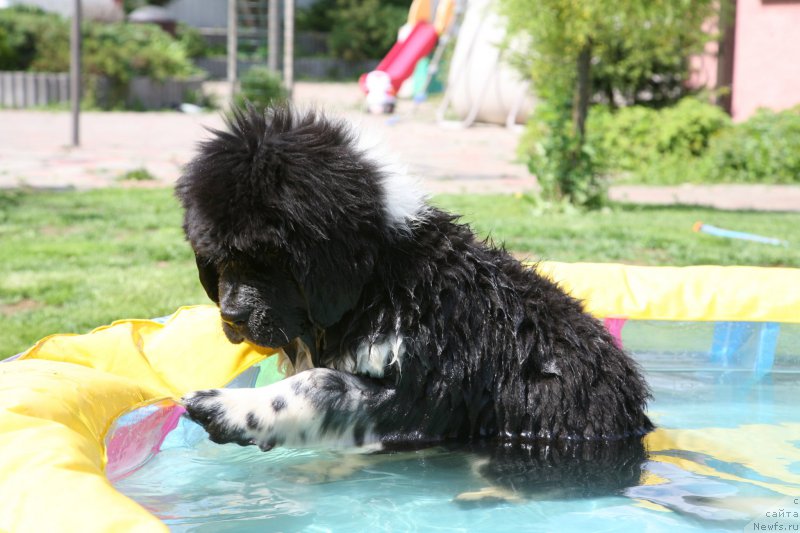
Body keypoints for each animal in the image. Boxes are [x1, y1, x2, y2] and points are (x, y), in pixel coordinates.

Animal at [178, 106, 652, 496]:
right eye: (217, 257)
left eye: (270, 258)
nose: (232, 317)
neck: (383, 278)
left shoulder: (423, 394)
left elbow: (321, 385)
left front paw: (226, 407)